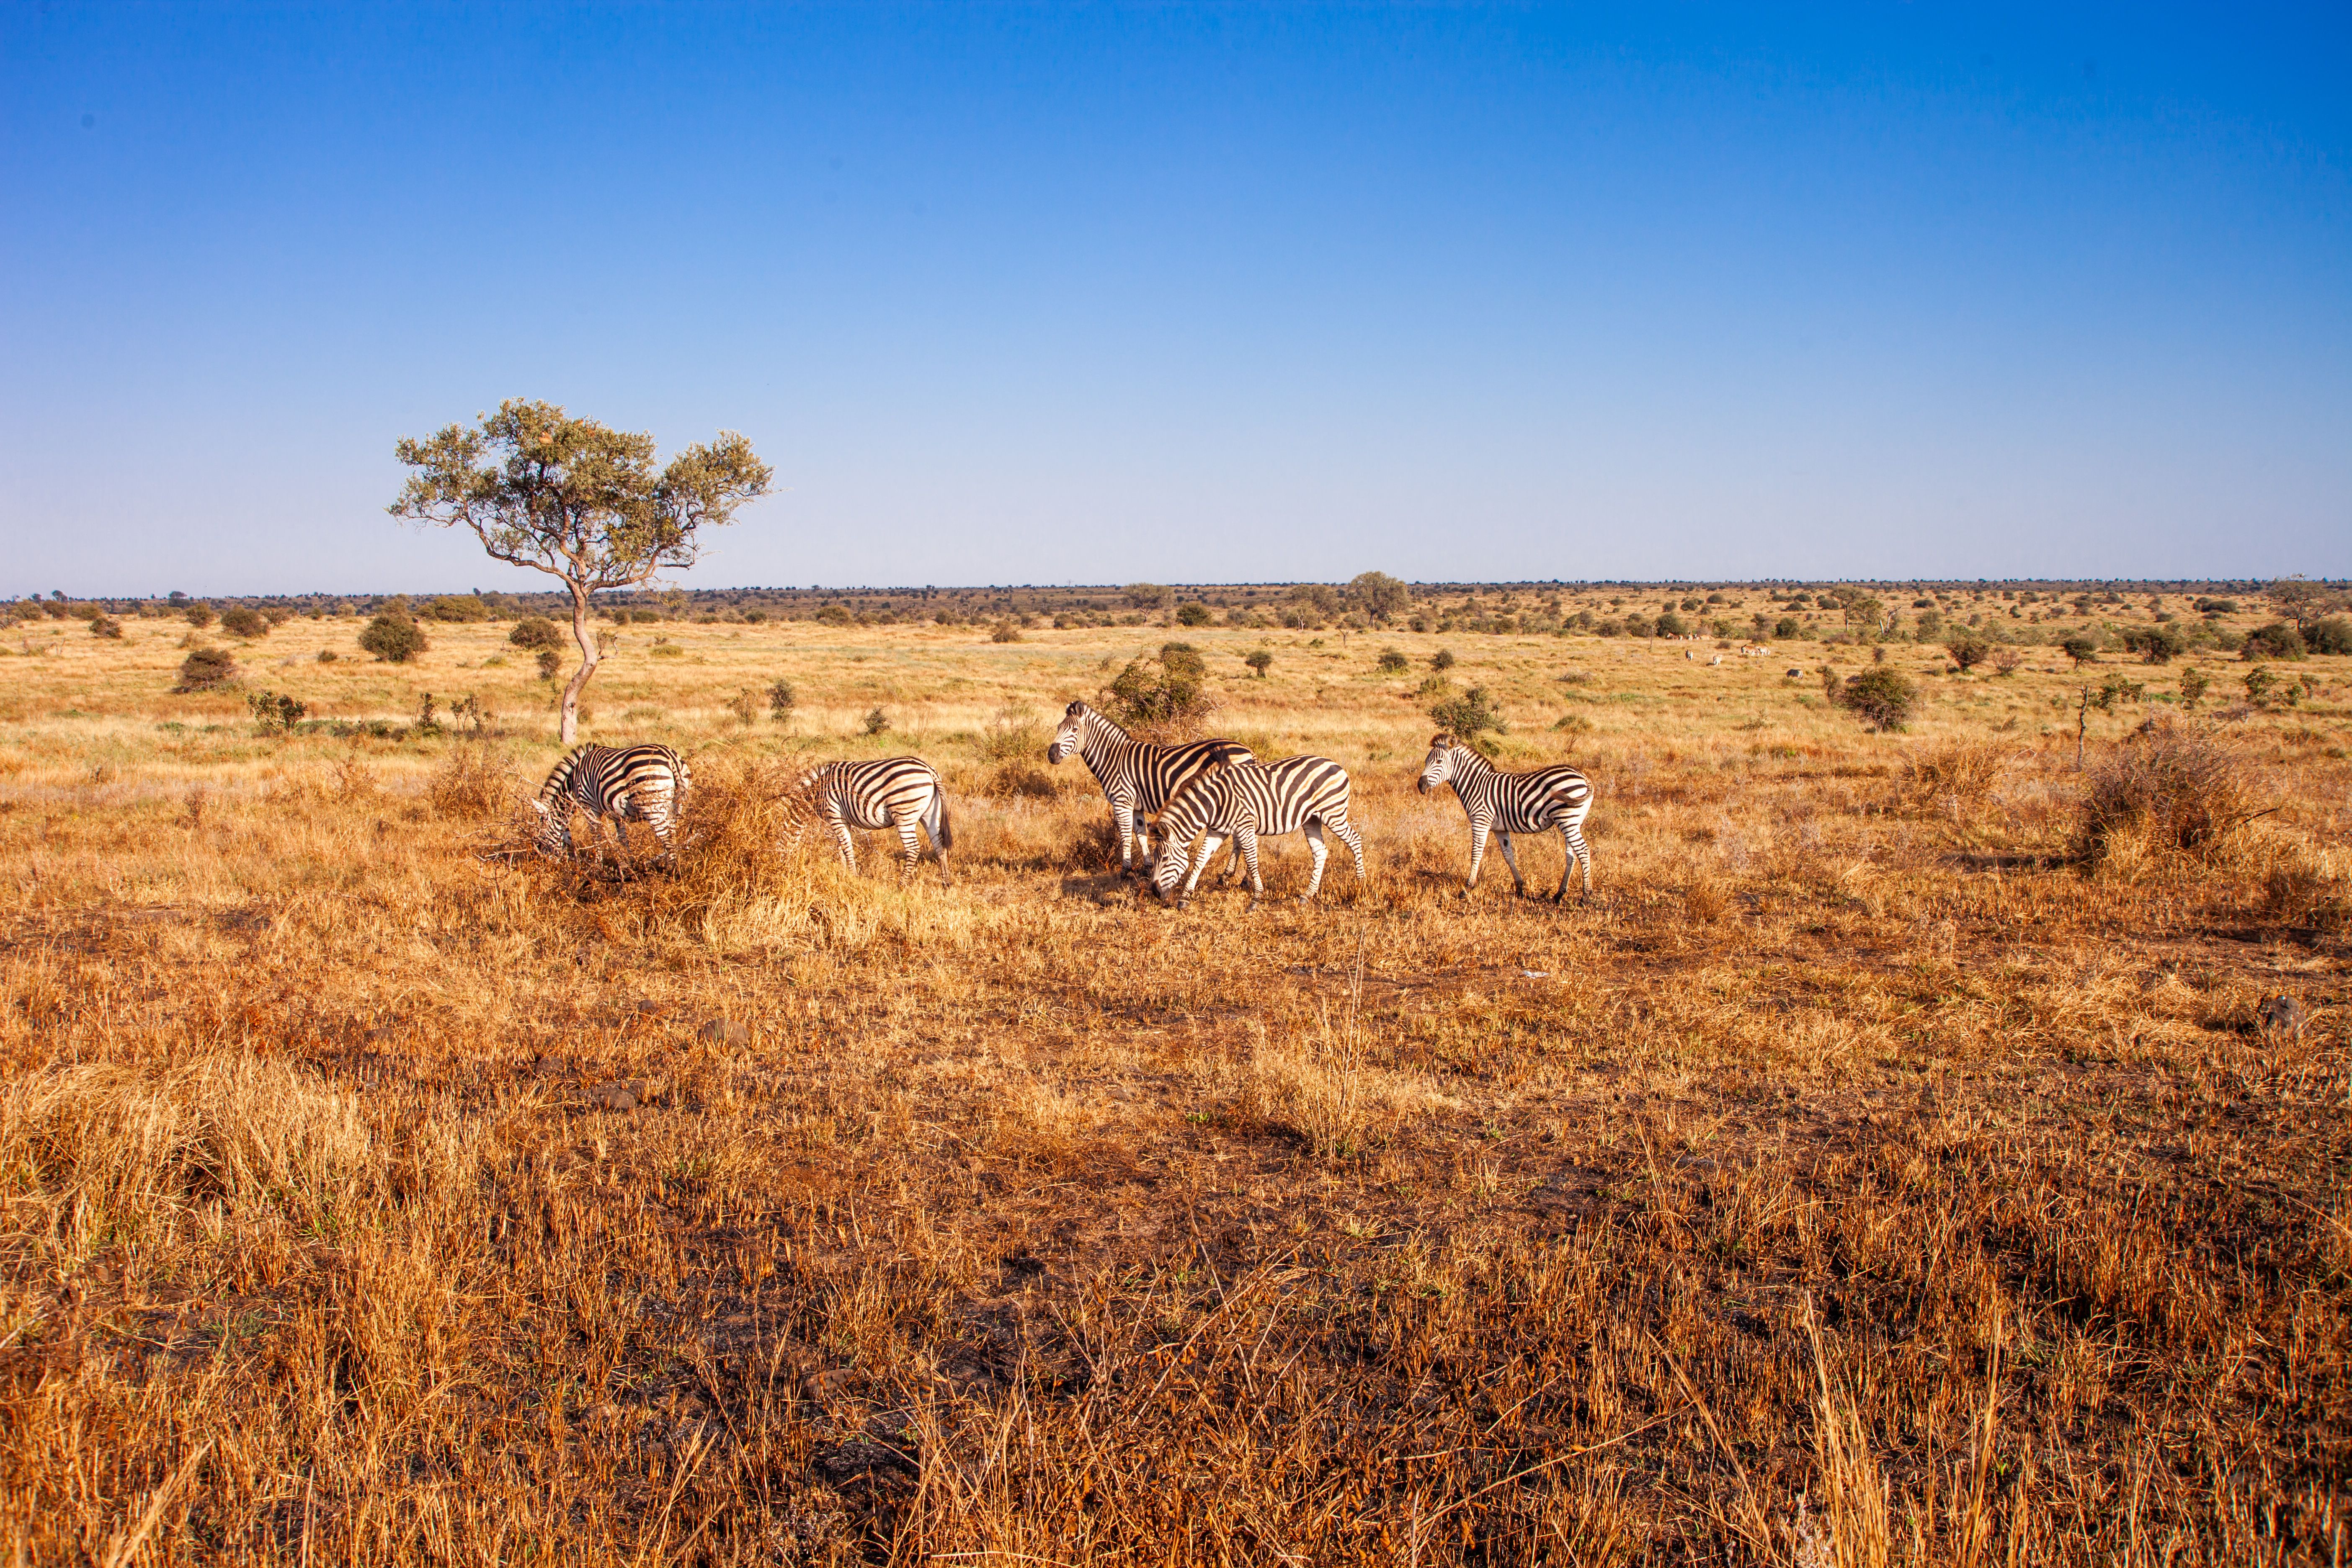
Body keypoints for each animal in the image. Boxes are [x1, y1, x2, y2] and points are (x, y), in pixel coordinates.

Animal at [528, 743, 691, 864]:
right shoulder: (617, 813)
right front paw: (629, 865)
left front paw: (597, 867)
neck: (573, 782)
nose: (542, 861)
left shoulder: (589, 807)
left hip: (652, 806)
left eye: (541, 835)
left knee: (667, 838)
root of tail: (671, 758)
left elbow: (597, 837)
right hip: (676, 805)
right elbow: (623, 840)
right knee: (673, 835)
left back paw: (670, 872)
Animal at [786, 757, 952, 882]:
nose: (786, 866)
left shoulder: (835, 814)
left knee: (913, 848)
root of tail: (928, 769)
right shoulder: (845, 820)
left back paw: (901, 885)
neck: (817, 792)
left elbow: (846, 847)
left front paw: (853, 876)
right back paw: (946, 882)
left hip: (904, 812)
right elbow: (842, 847)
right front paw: (844, 872)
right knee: (939, 844)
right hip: (930, 814)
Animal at [1046, 701, 1254, 877]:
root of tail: (1248, 751)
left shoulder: (1122, 801)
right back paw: (1232, 876)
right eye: (1058, 728)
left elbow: (1125, 837)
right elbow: (1141, 836)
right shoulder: (1136, 806)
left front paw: (1125, 872)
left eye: (1074, 730)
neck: (1113, 759)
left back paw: (1231, 875)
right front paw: (1147, 869)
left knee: (1240, 837)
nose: (1052, 755)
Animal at [1151, 756, 1366, 909]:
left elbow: (1252, 861)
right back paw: (1307, 895)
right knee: (1321, 852)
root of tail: (1337, 765)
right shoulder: (1216, 831)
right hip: (1312, 819)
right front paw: (1185, 898)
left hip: (1333, 814)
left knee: (1355, 840)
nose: (1154, 892)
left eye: (1165, 859)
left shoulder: (1245, 825)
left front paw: (1256, 899)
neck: (1215, 803)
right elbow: (1200, 861)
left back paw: (1360, 887)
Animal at [1416, 733, 1593, 900]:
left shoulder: (1481, 821)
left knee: (1583, 850)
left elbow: (1476, 853)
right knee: (1571, 855)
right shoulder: (1500, 829)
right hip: (1572, 821)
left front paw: (1467, 889)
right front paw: (1520, 889)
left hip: (1567, 819)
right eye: (1426, 761)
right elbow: (1509, 856)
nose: (1420, 786)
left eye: (1439, 762)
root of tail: (1584, 777)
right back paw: (1559, 895)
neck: (1475, 785)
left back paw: (1585, 897)